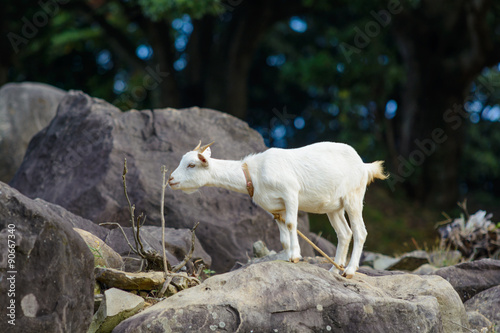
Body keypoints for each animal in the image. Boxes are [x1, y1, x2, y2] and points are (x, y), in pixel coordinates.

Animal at [170, 141, 388, 278]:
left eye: (191, 165)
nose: (171, 180)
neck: (254, 173)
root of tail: (364, 166)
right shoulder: (275, 208)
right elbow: (283, 235)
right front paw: (286, 257)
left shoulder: (290, 193)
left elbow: (292, 224)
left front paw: (296, 256)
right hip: (333, 207)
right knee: (344, 233)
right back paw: (334, 271)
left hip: (353, 197)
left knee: (360, 232)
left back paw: (349, 271)